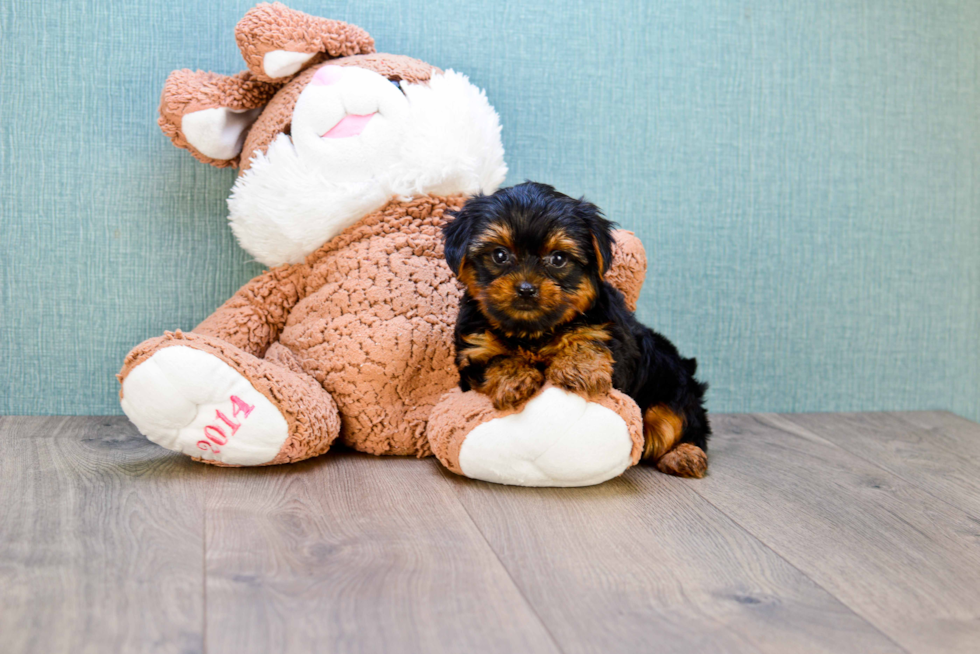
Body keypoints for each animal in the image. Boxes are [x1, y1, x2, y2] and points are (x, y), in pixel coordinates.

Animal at [444, 182, 712, 480]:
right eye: (499, 255)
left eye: (558, 259)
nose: (526, 289)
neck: (534, 331)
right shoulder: (474, 348)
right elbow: (494, 358)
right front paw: (515, 378)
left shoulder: (609, 335)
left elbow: (588, 340)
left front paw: (579, 369)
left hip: (672, 387)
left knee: (678, 422)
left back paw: (684, 454)